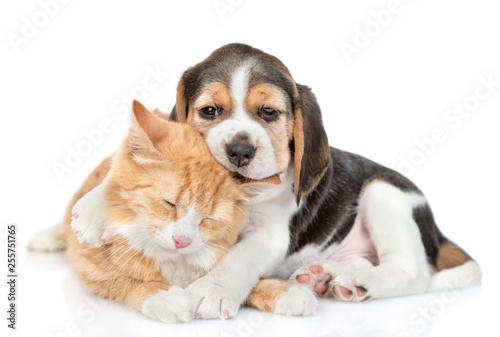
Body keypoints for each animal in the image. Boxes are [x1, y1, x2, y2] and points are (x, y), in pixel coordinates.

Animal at [31, 101, 246, 322]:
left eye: (208, 219)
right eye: (170, 203)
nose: (182, 241)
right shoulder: (88, 265)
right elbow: (120, 282)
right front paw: (164, 297)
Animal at [72, 43, 482, 318]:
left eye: (269, 112)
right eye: (210, 111)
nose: (240, 150)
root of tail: (435, 228)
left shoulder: (269, 235)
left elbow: (237, 259)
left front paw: (211, 291)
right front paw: (95, 208)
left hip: (383, 194)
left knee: (414, 272)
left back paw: (359, 283)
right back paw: (326, 274)